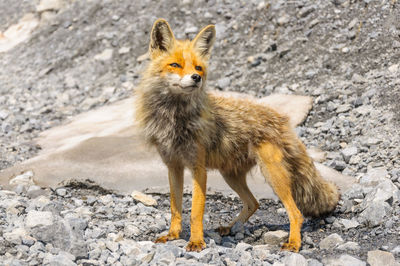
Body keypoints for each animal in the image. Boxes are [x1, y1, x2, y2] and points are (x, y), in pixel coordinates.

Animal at [136, 19, 340, 254]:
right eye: (175, 65)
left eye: (198, 68)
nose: (196, 78)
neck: (174, 118)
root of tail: (282, 119)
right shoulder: (173, 166)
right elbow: (175, 207)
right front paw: (173, 235)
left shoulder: (198, 167)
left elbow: (196, 211)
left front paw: (196, 242)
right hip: (231, 175)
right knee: (254, 203)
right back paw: (231, 227)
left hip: (272, 175)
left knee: (295, 213)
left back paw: (294, 243)